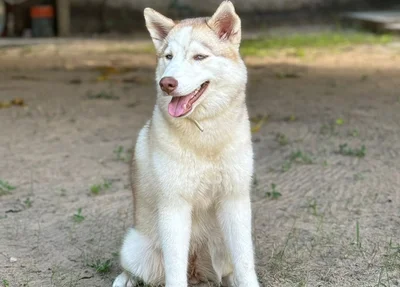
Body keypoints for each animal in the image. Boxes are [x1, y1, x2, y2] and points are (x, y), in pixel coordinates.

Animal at [112, 1, 260, 286]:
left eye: (199, 57)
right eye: (168, 57)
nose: (166, 83)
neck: (205, 139)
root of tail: (196, 269)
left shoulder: (235, 200)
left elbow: (245, 263)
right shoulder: (174, 206)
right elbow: (174, 269)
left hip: (219, 252)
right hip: (137, 248)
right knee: (136, 271)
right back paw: (125, 279)